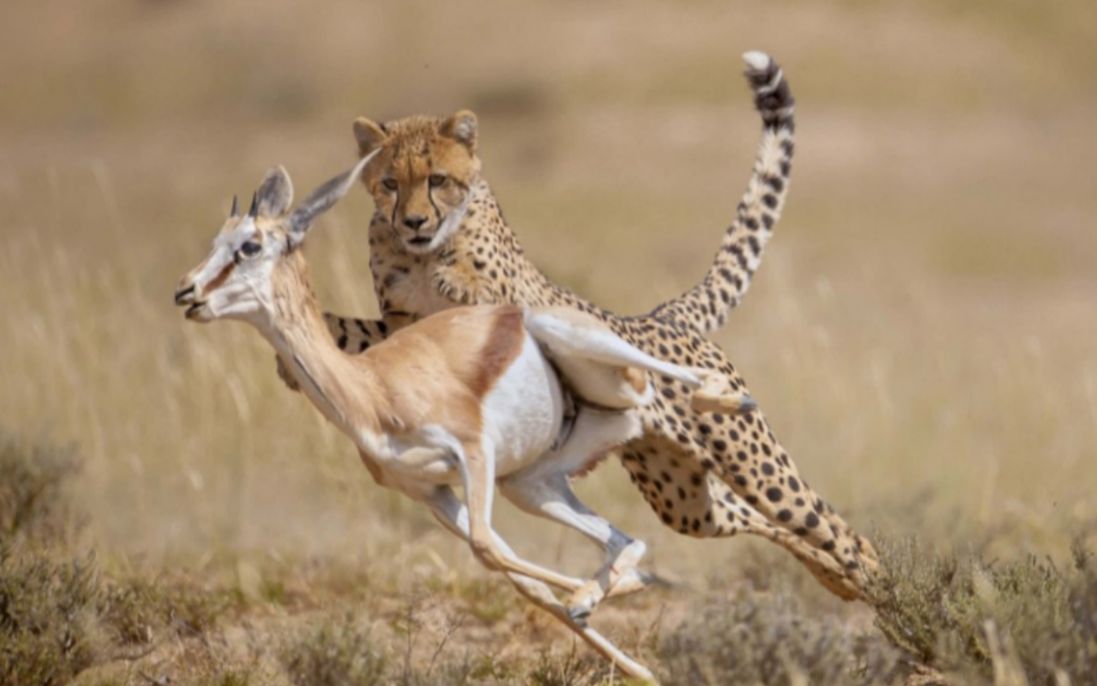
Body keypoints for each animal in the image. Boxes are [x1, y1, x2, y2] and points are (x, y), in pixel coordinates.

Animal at [298, 52, 873, 597]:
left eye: (437, 180)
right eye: (390, 183)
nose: (415, 221)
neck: (421, 254)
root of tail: (659, 316)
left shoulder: (512, 303)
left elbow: (484, 297)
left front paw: (453, 279)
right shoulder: (399, 329)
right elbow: (354, 334)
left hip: (753, 463)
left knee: (833, 526)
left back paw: (879, 588)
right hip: (682, 496)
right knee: (756, 518)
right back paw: (837, 580)